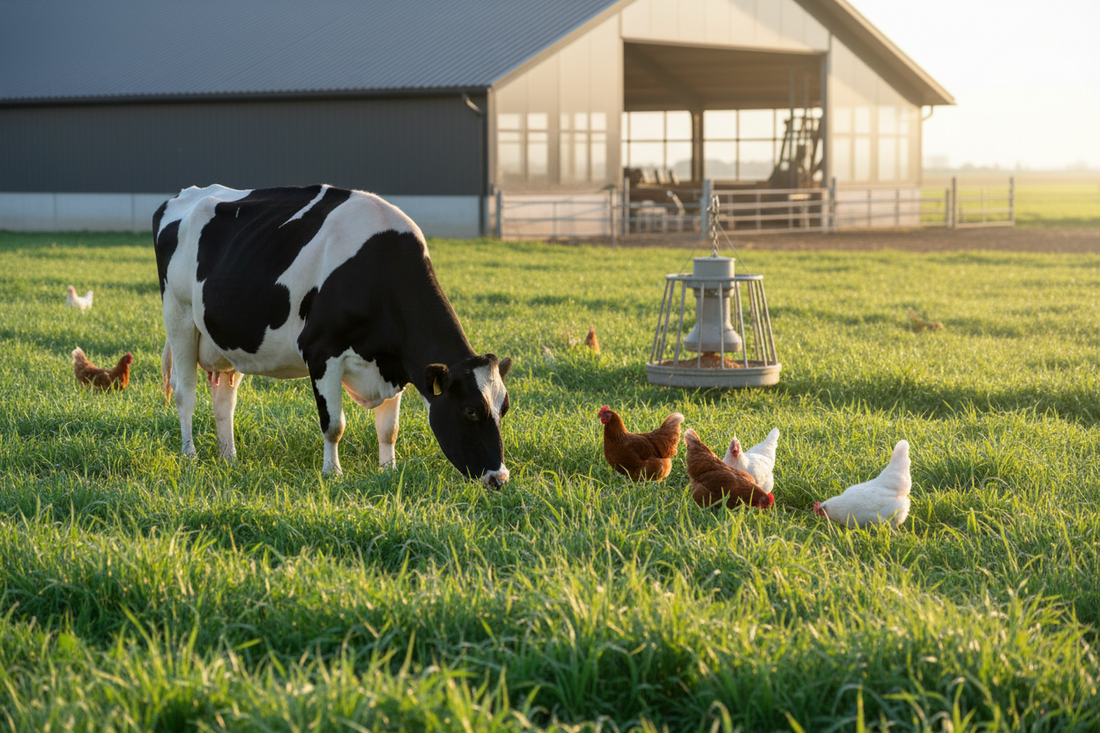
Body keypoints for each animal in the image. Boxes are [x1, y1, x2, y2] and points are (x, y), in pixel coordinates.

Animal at [153, 184, 512, 486]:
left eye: (503, 408)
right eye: (470, 410)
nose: (499, 477)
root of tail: (189, 192)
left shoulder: (395, 362)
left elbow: (389, 429)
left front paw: (388, 470)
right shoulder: (322, 352)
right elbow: (334, 424)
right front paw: (332, 472)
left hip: (229, 343)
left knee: (224, 400)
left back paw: (228, 457)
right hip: (178, 316)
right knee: (185, 394)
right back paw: (190, 455)